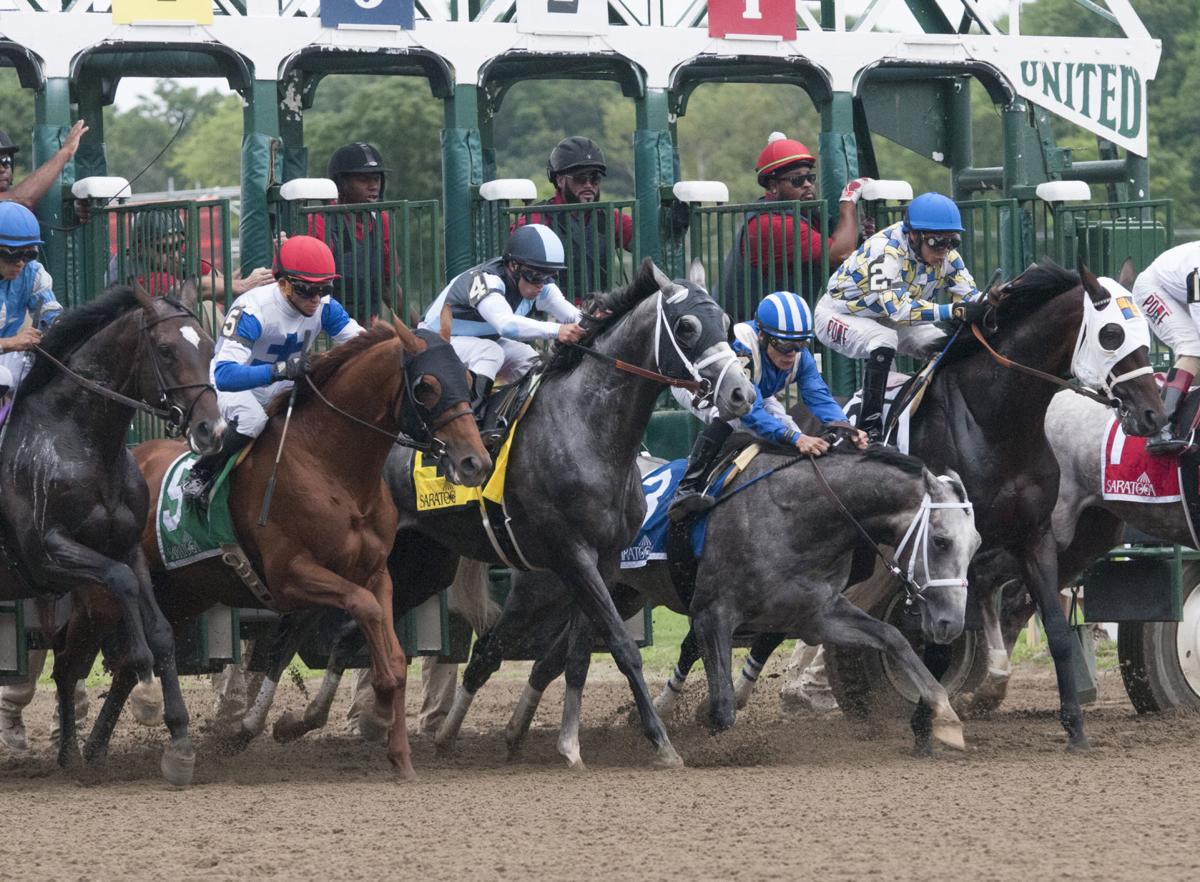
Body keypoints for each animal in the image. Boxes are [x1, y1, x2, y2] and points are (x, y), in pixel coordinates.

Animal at [82, 316, 489, 777]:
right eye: (427, 386)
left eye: (468, 379)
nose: (475, 462)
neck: (330, 464)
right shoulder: (291, 576)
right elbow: (363, 610)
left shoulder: (377, 573)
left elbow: (395, 659)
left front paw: (399, 753)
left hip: (185, 594)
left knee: (132, 662)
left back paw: (96, 747)